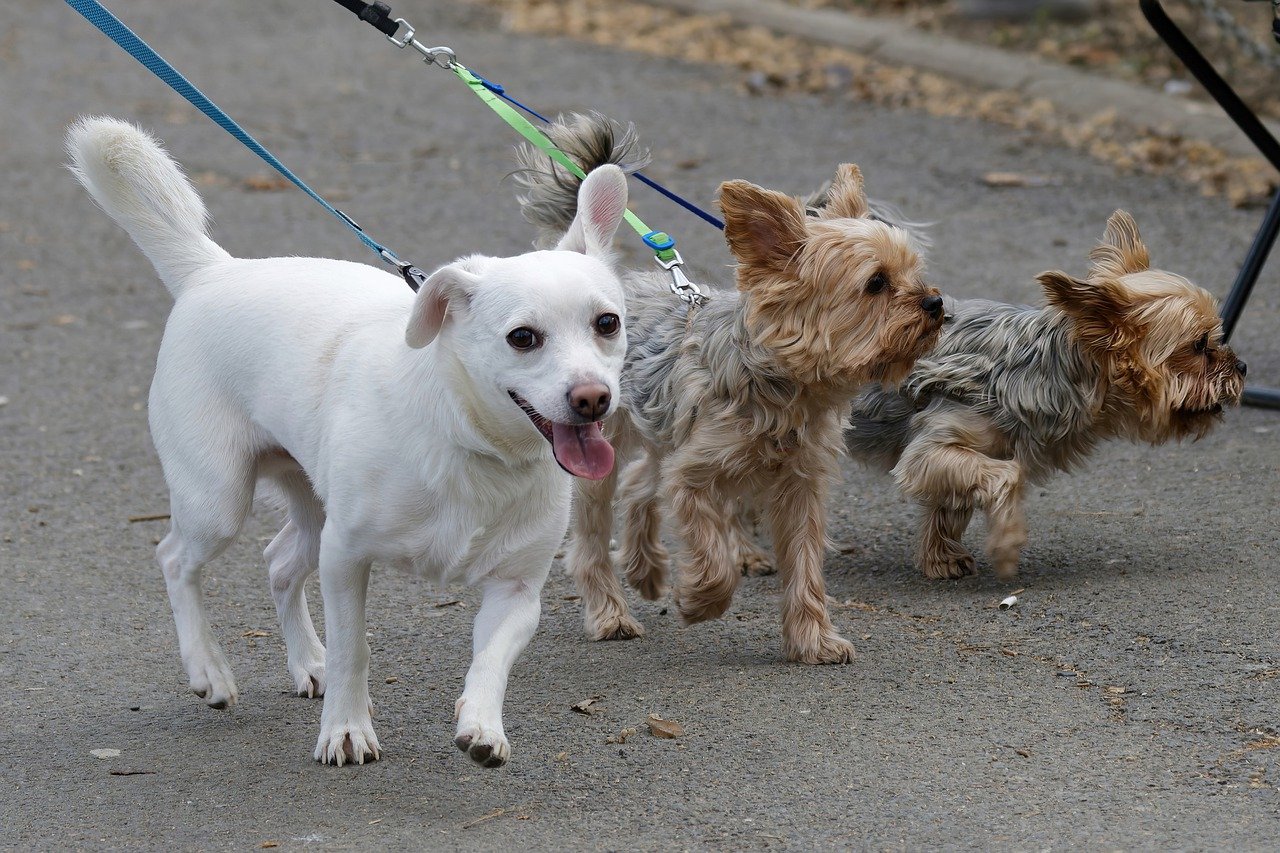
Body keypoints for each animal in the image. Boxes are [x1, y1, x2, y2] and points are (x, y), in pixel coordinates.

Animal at [70, 114, 629, 763]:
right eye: (523, 338)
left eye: (607, 323)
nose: (592, 397)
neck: (470, 442)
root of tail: (214, 271)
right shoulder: (345, 558)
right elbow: (353, 650)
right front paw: (345, 729)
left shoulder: (516, 592)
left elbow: (490, 663)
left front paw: (482, 726)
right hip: (218, 503)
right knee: (174, 559)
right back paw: (209, 670)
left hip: (313, 509)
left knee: (278, 563)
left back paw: (306, 662)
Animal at [514, 112, 947, 660]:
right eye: (875, 284)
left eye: (915, 273)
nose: (935, 303)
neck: (786, 387)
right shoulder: (694, 477)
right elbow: (713, 553)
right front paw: (699, 600)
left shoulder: (801, 486)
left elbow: (805, 565)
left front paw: (813, 639)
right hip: (604, 445)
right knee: (592, 537)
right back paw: (610, 613)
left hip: (663, 433)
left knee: (637, 484)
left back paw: (646, 568)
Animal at [849, 210, 1239, 578]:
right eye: (1199, 344)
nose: (1242, 367)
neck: (1053, 366)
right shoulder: (933, 447)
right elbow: (1008, 476)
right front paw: (1007, 543)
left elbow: (952, 503)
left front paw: (941, 557)